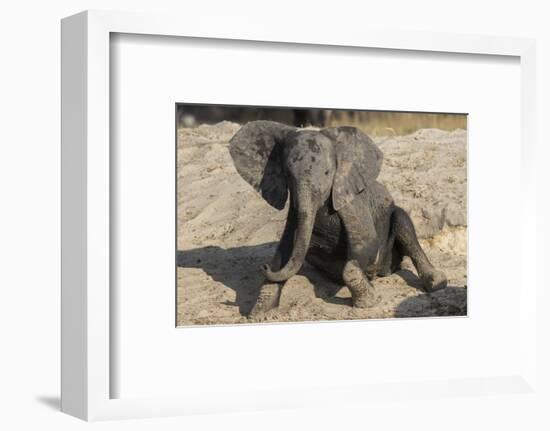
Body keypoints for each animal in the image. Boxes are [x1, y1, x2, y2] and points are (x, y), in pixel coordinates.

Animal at [230, 121, 448, 318]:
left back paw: (437, 283)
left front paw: (368, 302)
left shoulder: (350, 202)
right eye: (288, 175)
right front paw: (259, 315)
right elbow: (284, 254)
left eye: (328, 173)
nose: (263, 266)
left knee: (404, 224)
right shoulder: (294, 210)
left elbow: (366, 244)